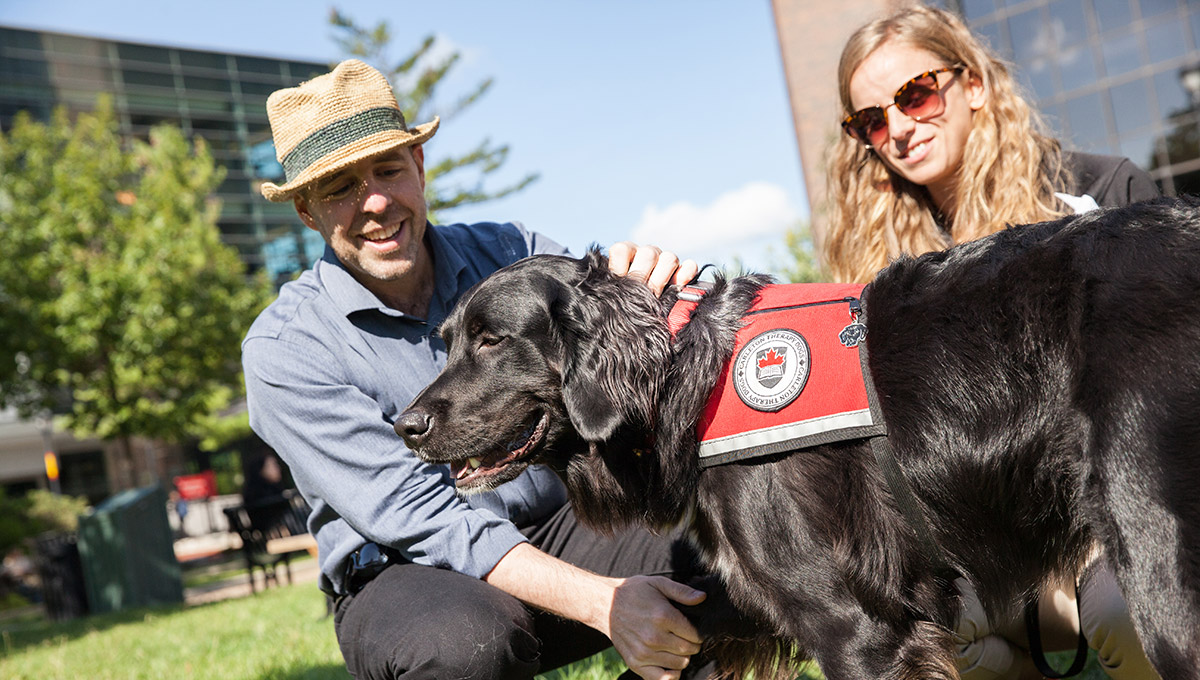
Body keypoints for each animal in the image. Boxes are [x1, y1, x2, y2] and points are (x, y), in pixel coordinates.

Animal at [398, 196, 1200, 680]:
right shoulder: (747, 596)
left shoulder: (856, 627)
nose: (405, 427)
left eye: (492, 339)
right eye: (448, 340)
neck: (685, 377)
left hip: (1161, 572)